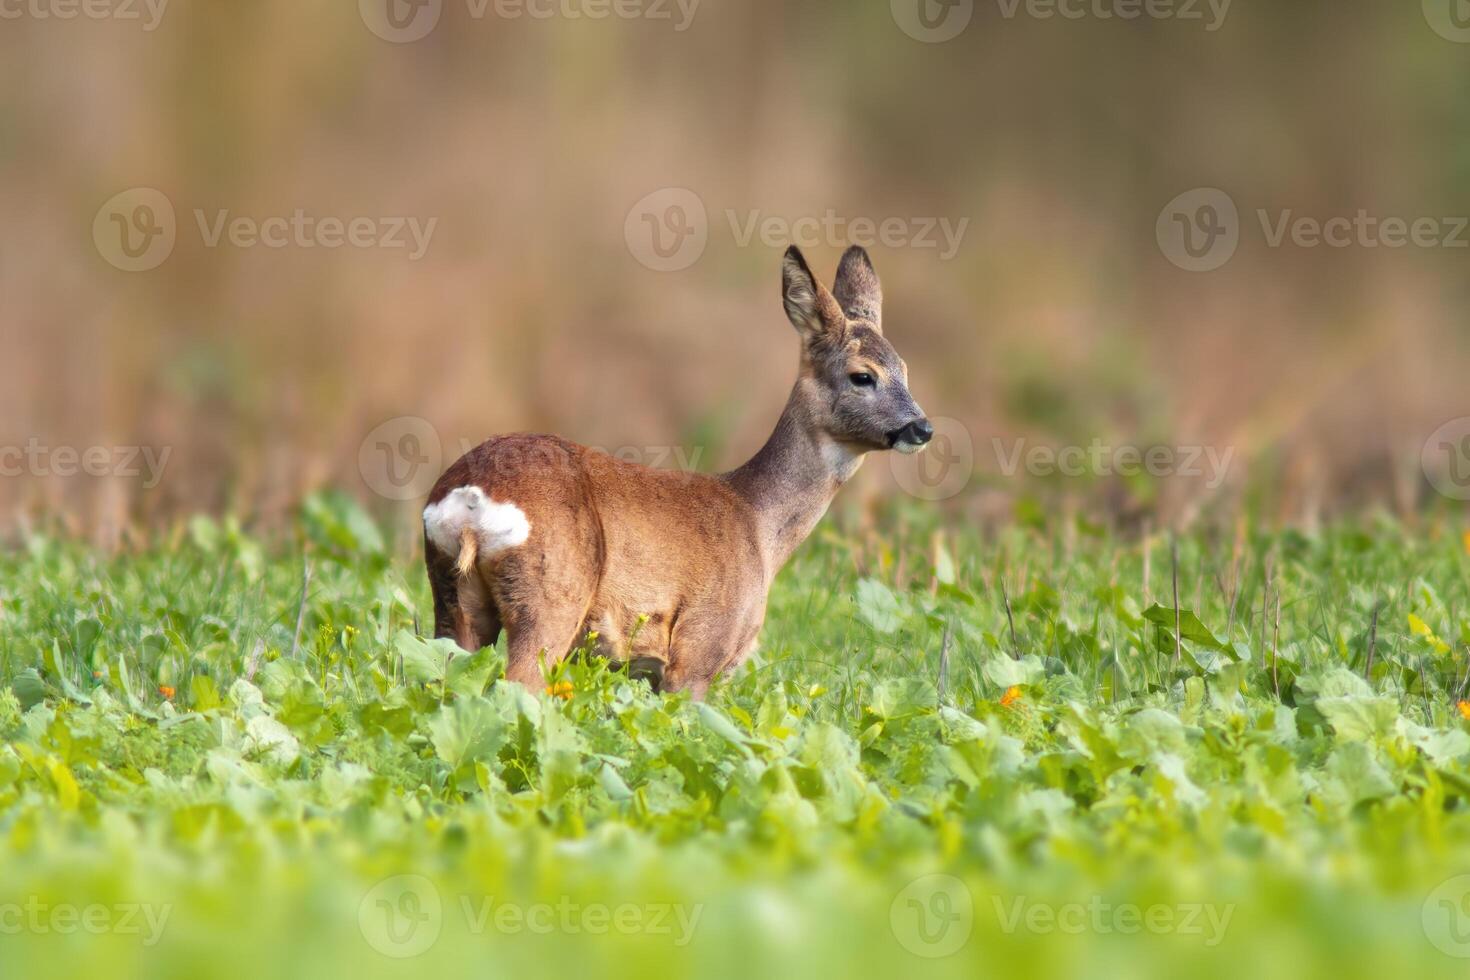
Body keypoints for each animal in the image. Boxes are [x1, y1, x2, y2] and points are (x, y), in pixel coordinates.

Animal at [426, 249, 929, 702]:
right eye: (863, 376)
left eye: (905, 370)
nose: (922, 428)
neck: (757, 522)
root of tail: (470, 498)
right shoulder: (700, 649)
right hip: (551, 595)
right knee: (519, 684)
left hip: (453, 600)